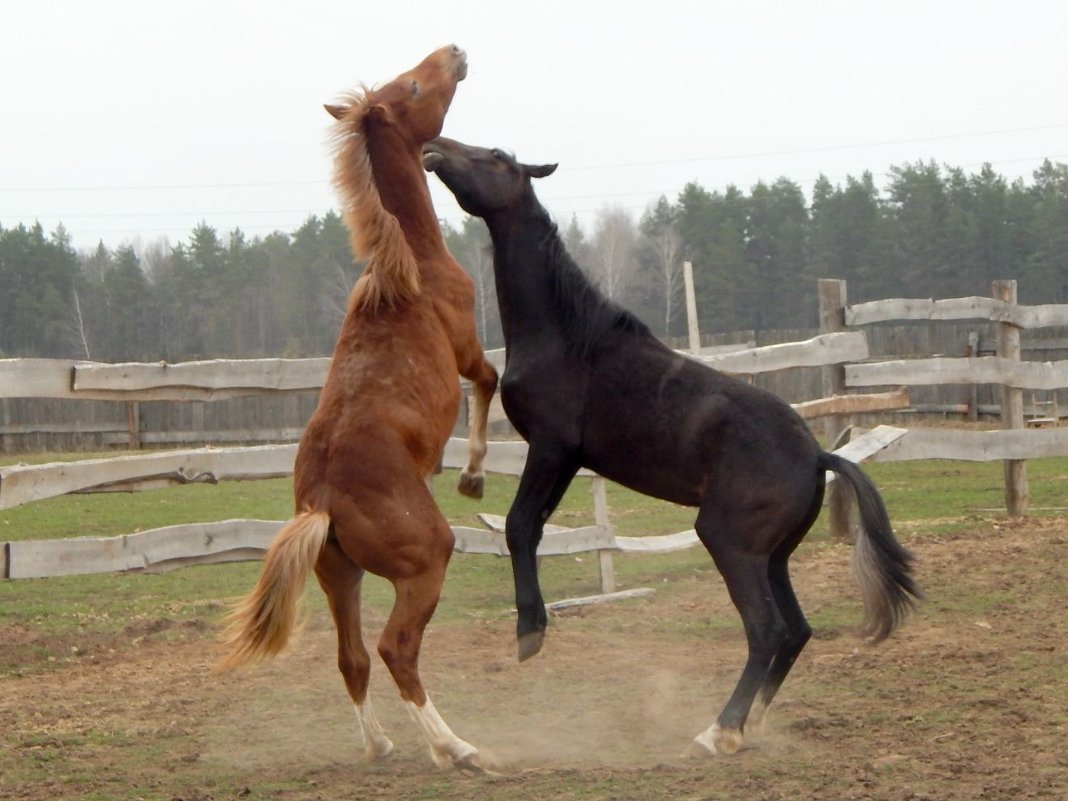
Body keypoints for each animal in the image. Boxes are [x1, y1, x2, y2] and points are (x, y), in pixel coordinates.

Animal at [220, 46, 499, 773]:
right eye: (413, 86)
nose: (455, 51)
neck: (410, 268)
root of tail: (321, 501)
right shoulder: (468, 351)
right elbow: (490, 385)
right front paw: (471, 474)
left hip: (337, 575)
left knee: (351, 660)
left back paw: (381, 744)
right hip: (424, 562)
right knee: (395, 651)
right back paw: (457, 747)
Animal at [420, 137, 922, 760]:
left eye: (494, 157)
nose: (435, 148)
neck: (567, 336)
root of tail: (816, 457)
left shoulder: (550, 448)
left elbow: (517, 526)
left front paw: (529, 633)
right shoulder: (568, 460)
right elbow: (531, 528)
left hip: (730, 544)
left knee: (768, 630)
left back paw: (717, 730)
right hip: (772, 557)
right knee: (797, 630)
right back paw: (750, 725)